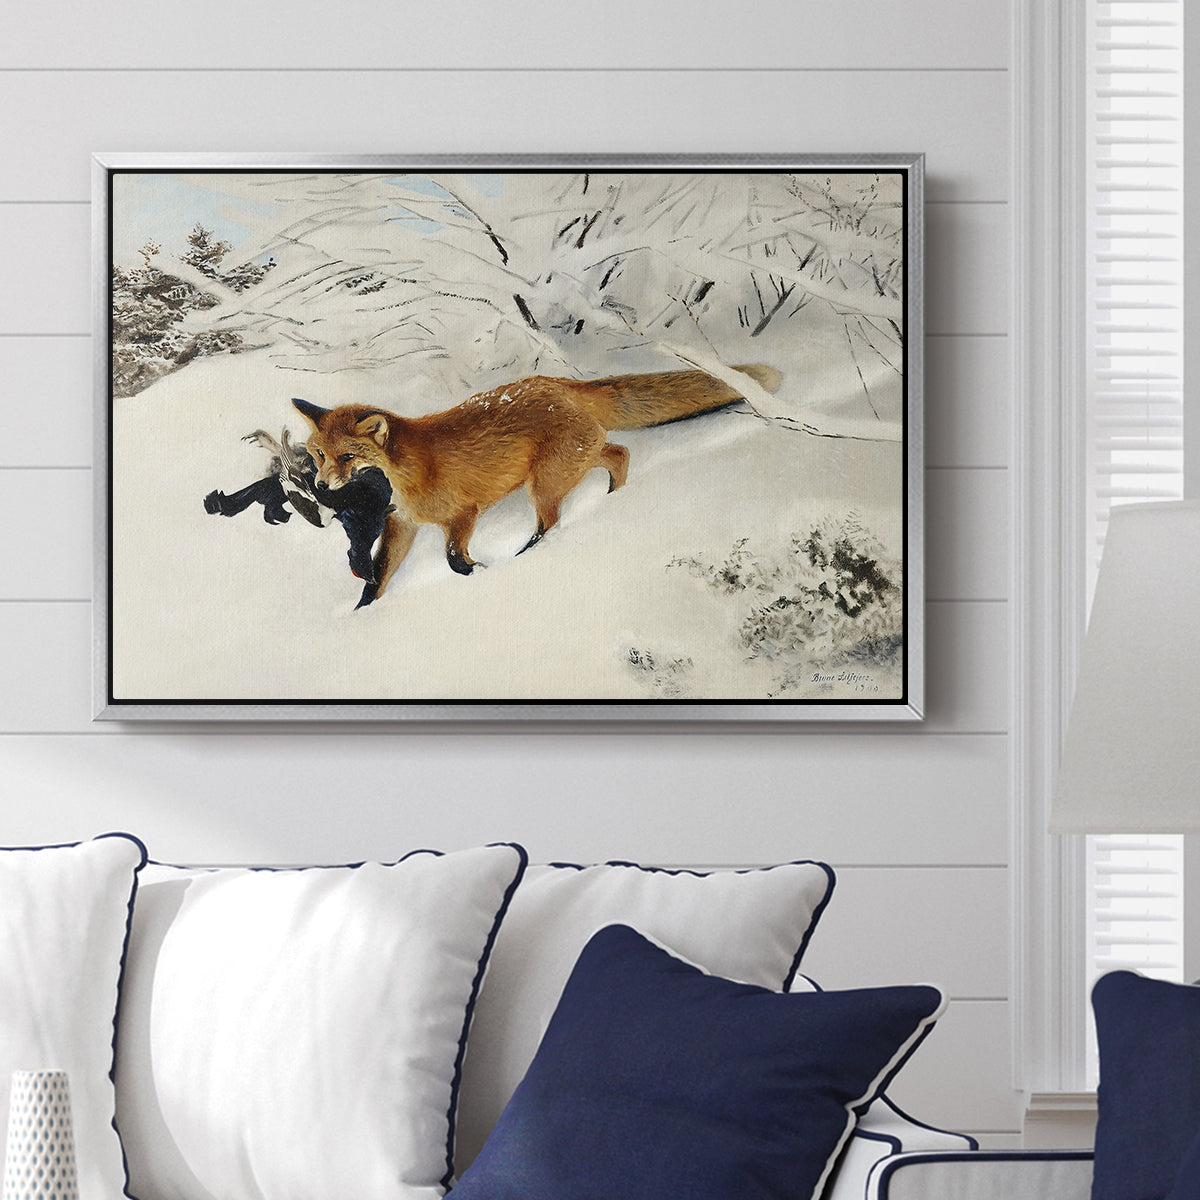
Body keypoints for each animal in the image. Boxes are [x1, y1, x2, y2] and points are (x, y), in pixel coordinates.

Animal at [292, 364, 782, 604]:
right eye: (319, 454)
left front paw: (481, 572)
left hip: (544, 483)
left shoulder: (463, 514)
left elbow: (453, 559)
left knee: (553, 521)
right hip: (570, 464)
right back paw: (614, 498)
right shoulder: (402, 525)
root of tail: (558, 383)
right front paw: (362, 614)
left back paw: (531, 554)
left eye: (348, 457)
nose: (322, 485)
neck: (407, 473)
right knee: (619, 453)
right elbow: (377, 578)